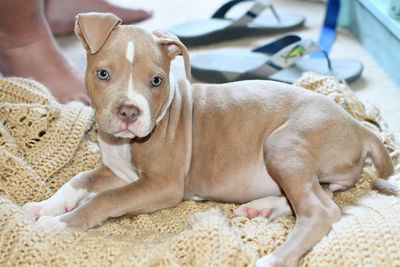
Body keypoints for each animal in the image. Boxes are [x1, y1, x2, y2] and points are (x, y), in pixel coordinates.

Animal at [23, 13, 396, 267]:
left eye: (157, 81)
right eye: (102, 74)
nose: (129, 112)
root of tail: (360, 127)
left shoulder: (161, 186)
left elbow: (104, 200)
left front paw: (60, 224)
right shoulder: (117, 172)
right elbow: (79, 179)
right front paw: (46, 206)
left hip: (283, 145)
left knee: (320, 210)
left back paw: (274, 257)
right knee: (321, 197)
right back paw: (264, 206)